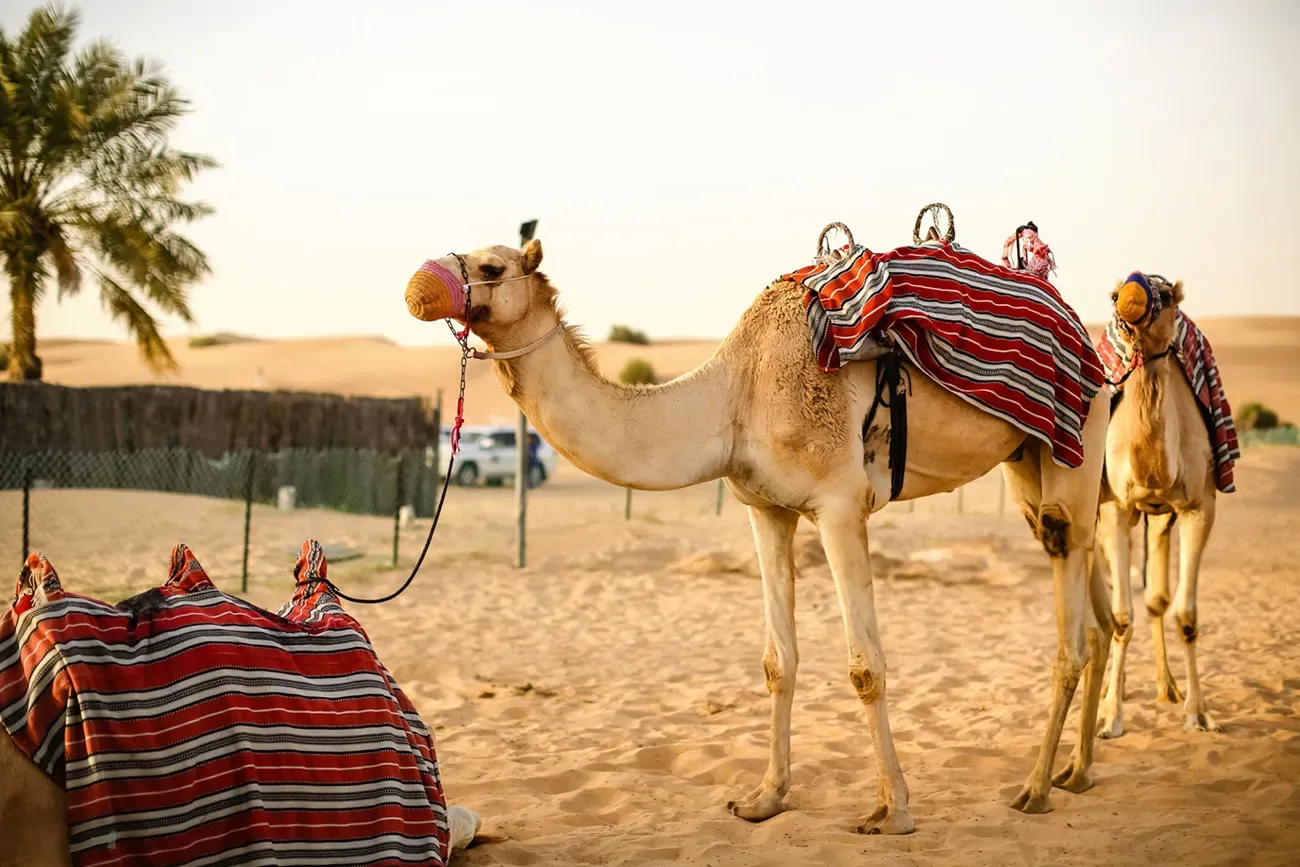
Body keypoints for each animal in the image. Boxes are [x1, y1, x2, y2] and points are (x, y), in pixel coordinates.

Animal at [404, 238, 1116, 831]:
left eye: (492, 267)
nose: (417, 286)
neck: (734, 397)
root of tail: (1089, 338)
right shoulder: (763, 507)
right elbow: (779, 662)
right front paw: (765, 798)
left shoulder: (839, 503)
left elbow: (865, 666)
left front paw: (892, 809)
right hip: (1024, 460)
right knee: (1088, 598)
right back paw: (1075, 773)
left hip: (1078, 440)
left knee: (1072, 595)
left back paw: (1035, 789)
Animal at [1096, 275, 1230, 737]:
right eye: (1114, 293)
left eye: (1167, 295)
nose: (1129, 299)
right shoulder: (1116, 509)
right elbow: (1121, 616)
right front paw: (1110, 718)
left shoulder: (1198, 508)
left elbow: (1184, 614)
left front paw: (1199, 713)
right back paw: (1107, 692)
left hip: (1160, 519)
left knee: (1157, 598)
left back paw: (1167, 687)